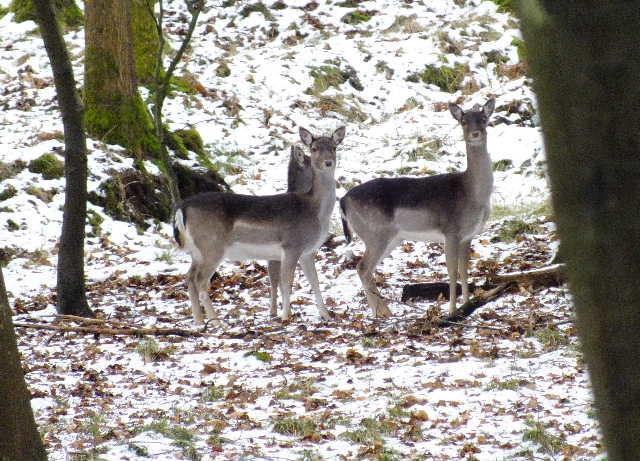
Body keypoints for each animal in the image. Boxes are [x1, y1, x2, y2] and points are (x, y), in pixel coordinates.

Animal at [172, 126, 344, 324]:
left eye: (334, 147)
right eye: (314, 149)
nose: (328, 162)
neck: (315, 211)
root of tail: (182, 207)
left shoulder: (307, 251)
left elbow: (315, 281)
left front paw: (326, 315)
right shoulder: (292, 246)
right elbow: (286, 281)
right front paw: (285, 316)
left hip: (196, 251)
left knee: (190, 277)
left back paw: (199, 322)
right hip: (211, 246)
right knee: (200, 281)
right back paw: (216, 322)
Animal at [340, 98, 496, 316]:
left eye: (483, 118)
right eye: (463, 121)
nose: (475, 134)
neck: (471, 194)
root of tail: (343, 200)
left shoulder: (468, 235)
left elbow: (465, 271)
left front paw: (467, 305)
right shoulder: (451, 231)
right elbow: (452, 271)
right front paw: (452, 311)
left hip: (391, 238)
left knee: (366, 269)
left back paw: (383, 313)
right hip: (375, 234)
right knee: (362, 267)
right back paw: (383, 314)